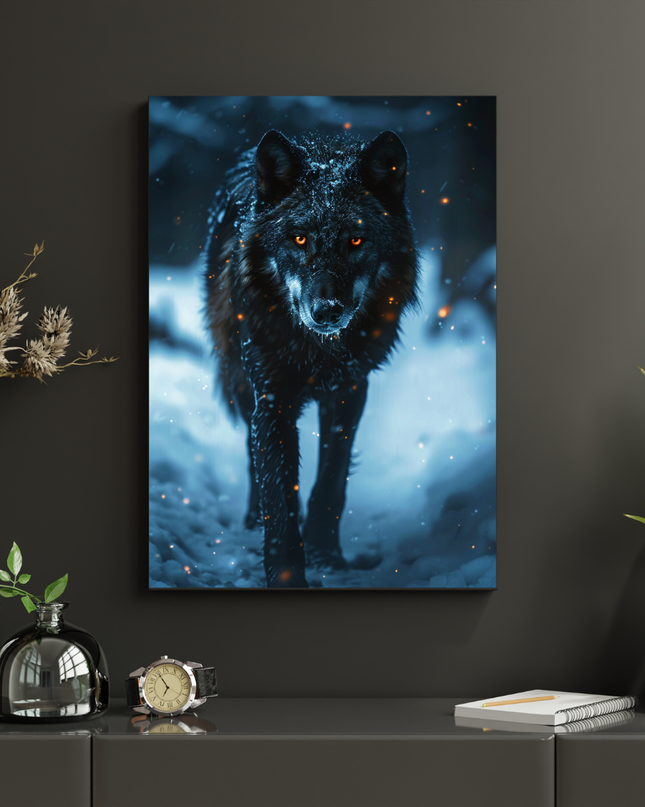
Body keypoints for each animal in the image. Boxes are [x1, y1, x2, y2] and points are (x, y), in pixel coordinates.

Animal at [204, 128, 419, 588]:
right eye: (299, 238)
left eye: (356, 240)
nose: (327, 311)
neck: (319, 350)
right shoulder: (272, 400)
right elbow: (277, 495)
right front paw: (287, 575)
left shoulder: (350, 390)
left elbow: (330, 484)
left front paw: (326, 557)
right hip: (241, 383)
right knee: (252, 456)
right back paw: (252, 520)